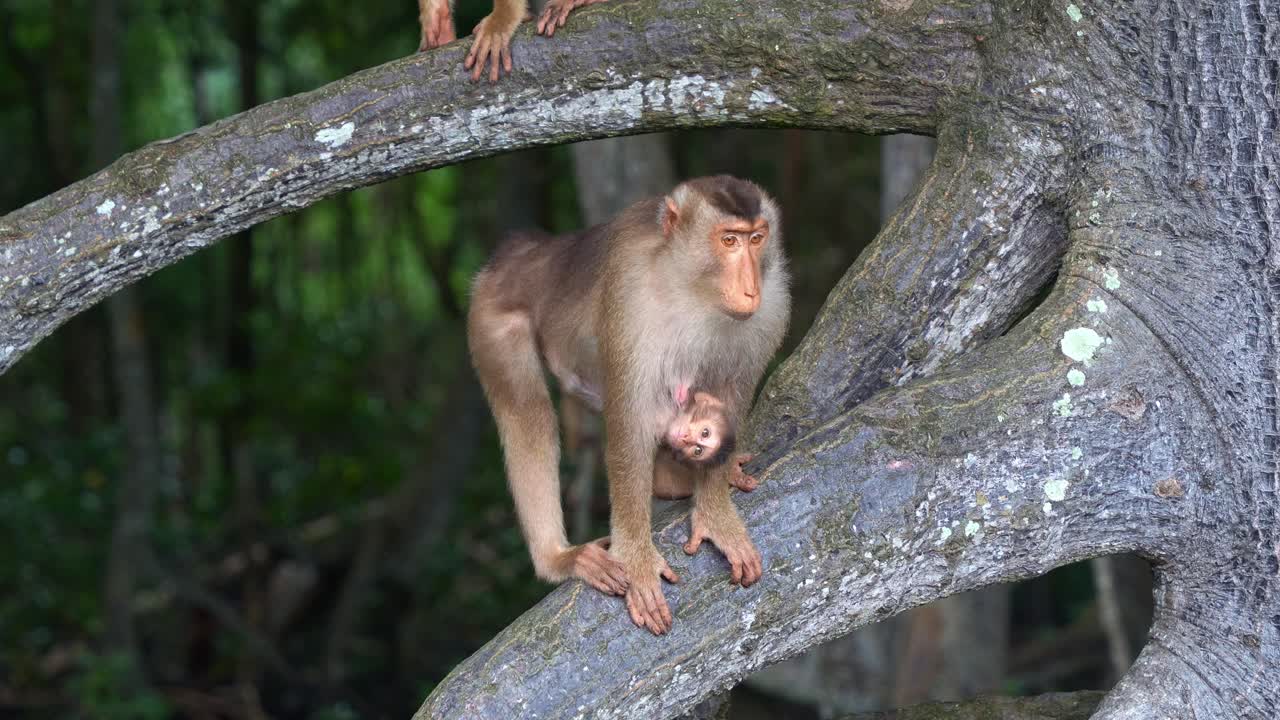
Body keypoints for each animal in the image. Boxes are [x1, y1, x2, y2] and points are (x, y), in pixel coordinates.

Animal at [467, 175, 790, 634]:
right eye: (729, 240)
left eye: (757, 239)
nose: (749, 288)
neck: (692, 288)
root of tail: (525, 249)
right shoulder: (630, 299)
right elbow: (629, 428)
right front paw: (637, 559)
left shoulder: (772, 306)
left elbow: (728, 402)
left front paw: (715, 515)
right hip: (492, 315)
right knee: (527, 414)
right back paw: (556, 558)